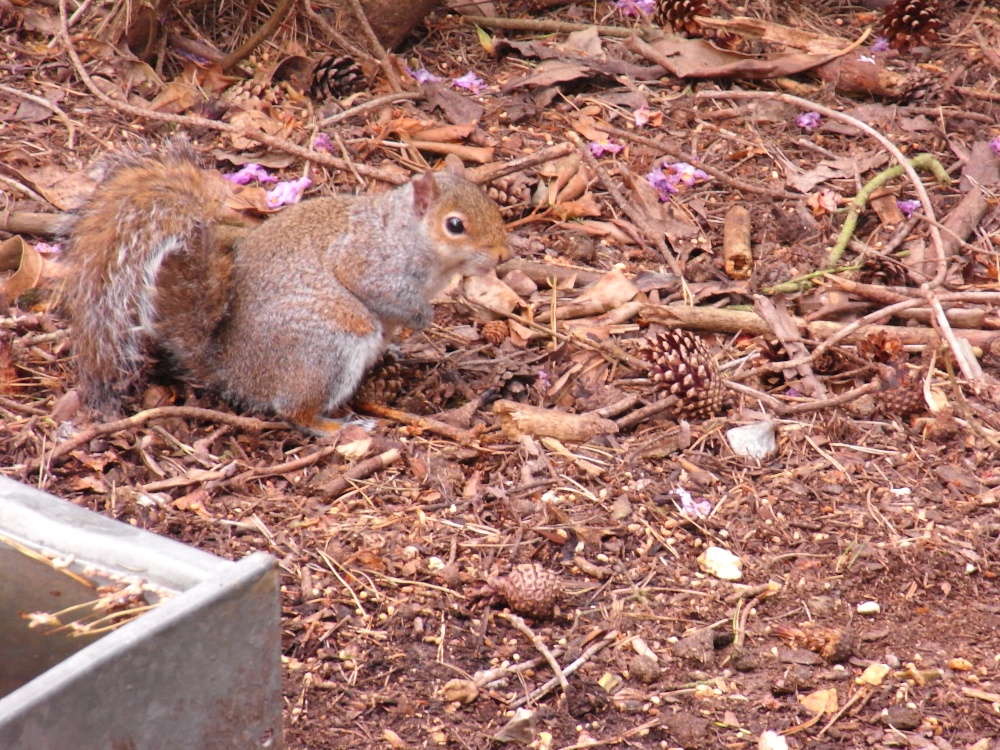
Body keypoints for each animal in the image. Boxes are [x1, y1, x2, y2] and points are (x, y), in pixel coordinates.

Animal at [60, 140, 510, 435]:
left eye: (491, 204)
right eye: (455, 225)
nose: (502, 255)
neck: (413, 236)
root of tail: (232, 369)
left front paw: (404, 338)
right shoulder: (370, 260)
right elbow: (377, 290)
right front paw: (422, 317)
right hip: (328, 344)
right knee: (295, 411)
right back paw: (338, 427)